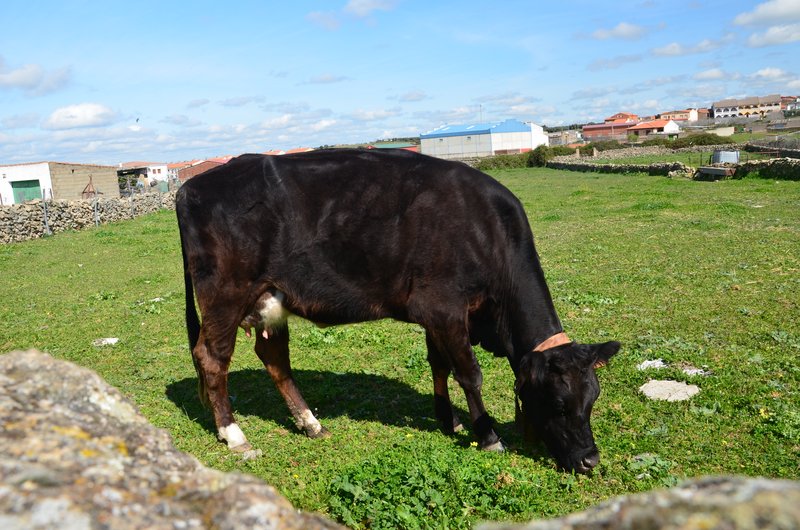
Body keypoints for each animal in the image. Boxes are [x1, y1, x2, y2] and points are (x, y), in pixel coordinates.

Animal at [178, 147, 620, 470]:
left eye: (592, 401)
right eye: (559, 403)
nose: (590, 460)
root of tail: (191, 186)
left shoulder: (436, 314)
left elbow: (438, 364)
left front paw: (448, 420)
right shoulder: (447, 308)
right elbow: (469, 374)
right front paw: (488, 436)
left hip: (270, 299)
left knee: (274, 359)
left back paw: (311, 424)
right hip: (226, 295)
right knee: (212, 358)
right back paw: (234, 434)